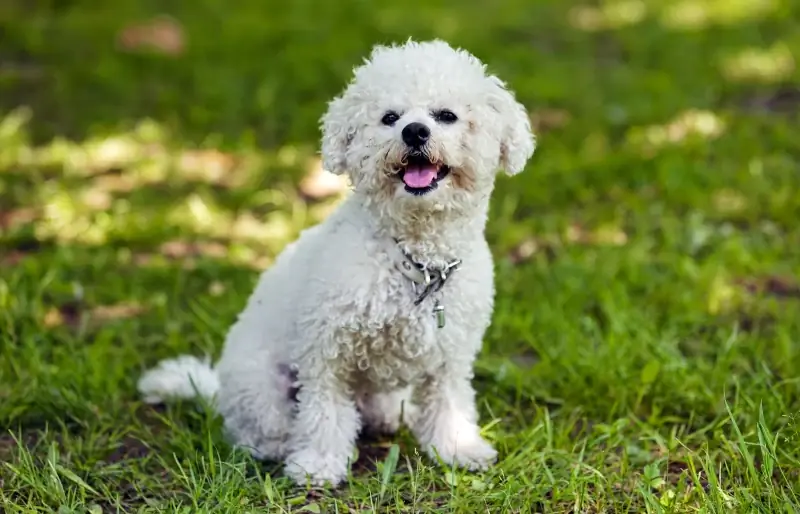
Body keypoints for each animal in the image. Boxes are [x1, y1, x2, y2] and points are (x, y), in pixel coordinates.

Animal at [138, 39, 536, 484]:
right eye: (389, 117)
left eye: (446, 115)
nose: (414, 131)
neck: (415, 258)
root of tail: (217, 389)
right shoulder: (326, 350)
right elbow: (324, 412)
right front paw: (317, 464)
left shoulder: (451, 356)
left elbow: (449, 402)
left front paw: (457, 447)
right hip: (260, 387)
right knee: (258, 426)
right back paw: (273, 445)